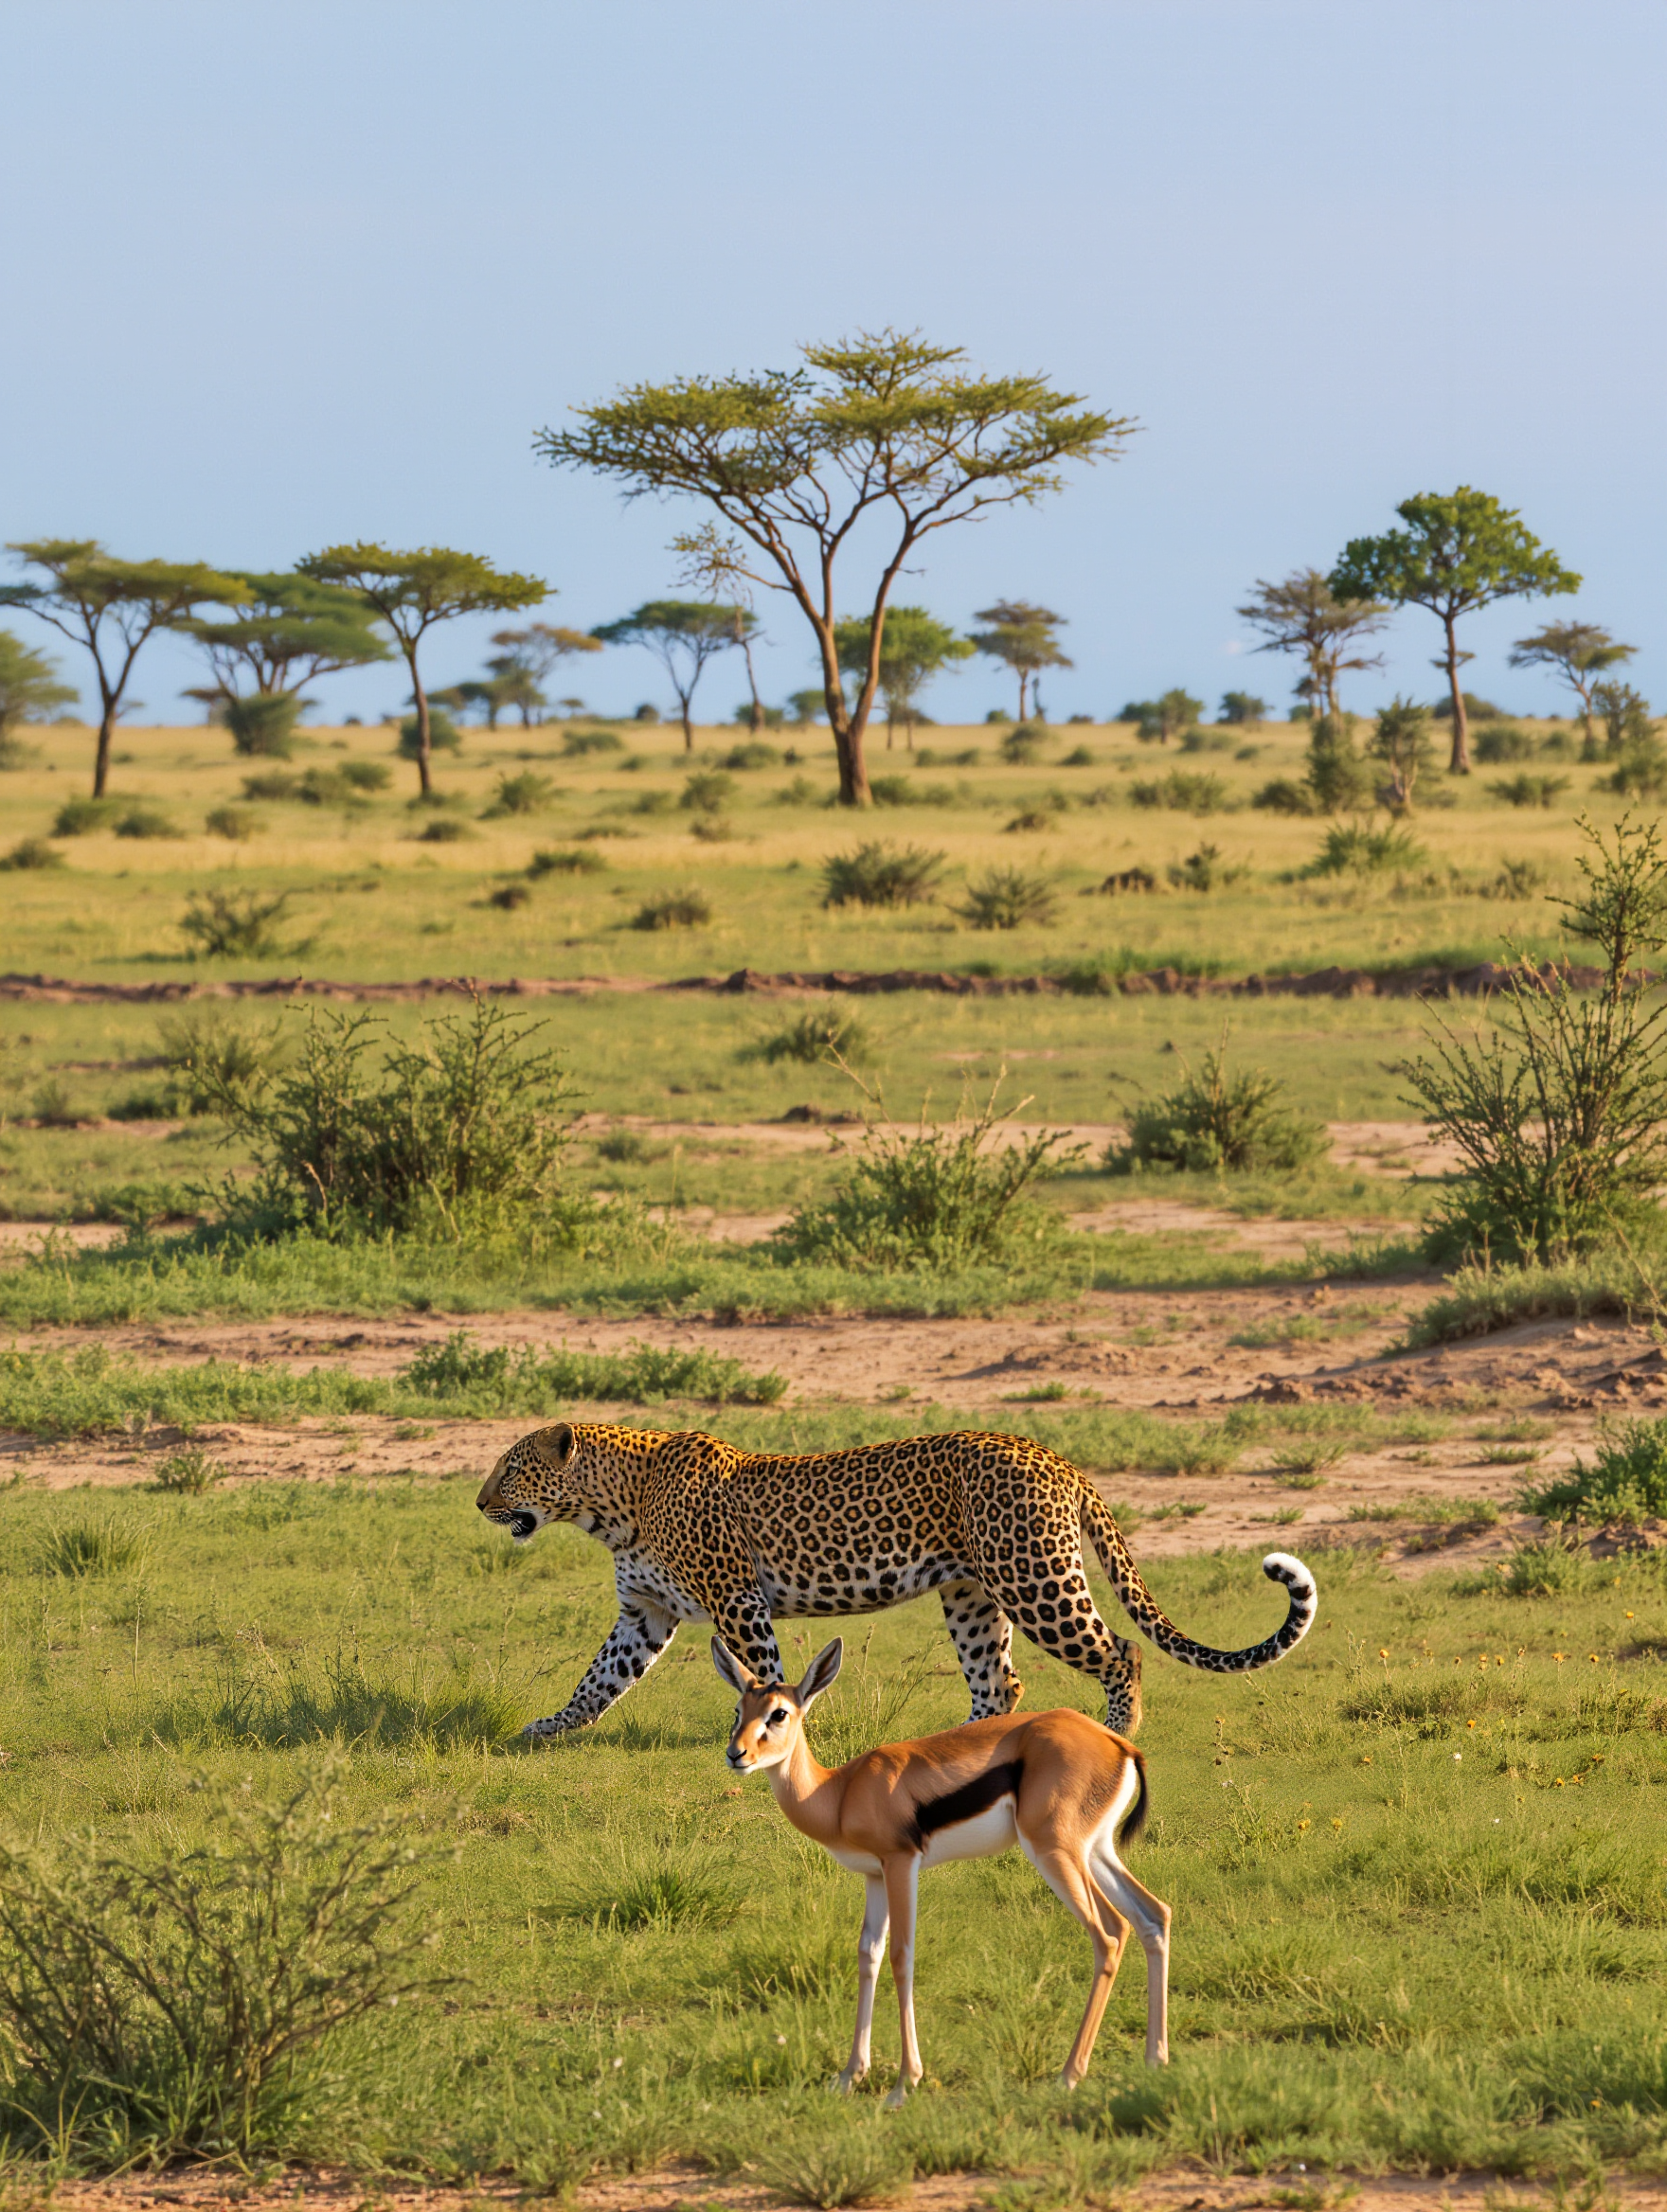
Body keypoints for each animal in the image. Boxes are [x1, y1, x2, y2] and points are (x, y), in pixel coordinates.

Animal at [476, 1420, 1317, 1740]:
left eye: (510, 1468)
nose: (479, 1502)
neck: (612, 1506)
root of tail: (1053, 1454)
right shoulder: (644, 1613)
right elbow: (597, 1680)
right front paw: (544, 1730)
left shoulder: (736, 1600)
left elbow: (764, 1673)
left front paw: (777, 1734)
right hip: (973, 1593)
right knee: (1000, 1681)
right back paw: (961, 1745)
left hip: (1033, 1578)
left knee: (1119, 1651)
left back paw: (1118, 1731)